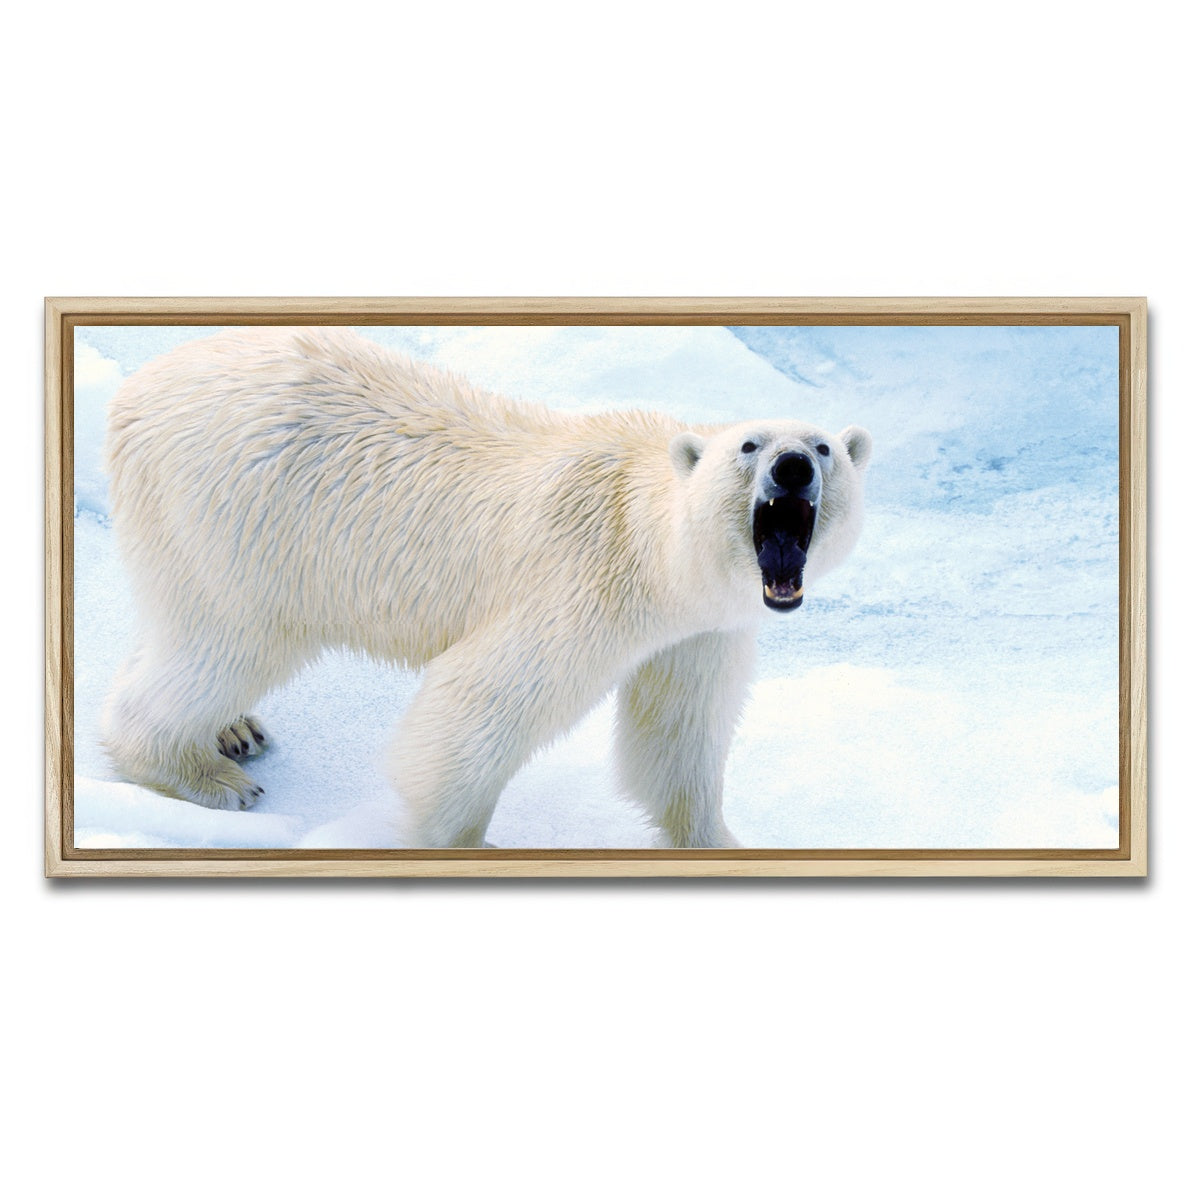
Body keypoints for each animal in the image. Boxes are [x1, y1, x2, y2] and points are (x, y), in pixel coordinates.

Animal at [100, 327, 871, 848]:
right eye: (749, 445)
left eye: (824, 446)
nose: (794, 467)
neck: (650, 541)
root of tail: (135, 390)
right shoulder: (583, 586)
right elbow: (476, 705)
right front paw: (465, 840)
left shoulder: (701, 630)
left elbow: (677, 734)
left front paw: (716, 838)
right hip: (239, 518)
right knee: (226, 640)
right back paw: (206, 775)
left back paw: (235, 729)